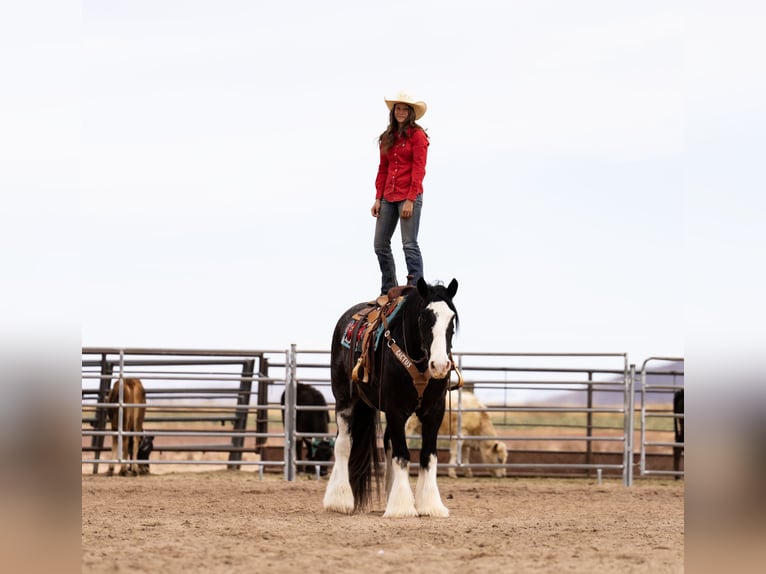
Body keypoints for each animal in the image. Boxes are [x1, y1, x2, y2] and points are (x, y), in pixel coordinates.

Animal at [324, 276, 462, 520]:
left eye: (451, 319)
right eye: (424, 317)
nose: (439, 365)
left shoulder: (434, 411)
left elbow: (427, 455)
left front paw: (430, 505)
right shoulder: (396, 409)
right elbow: (402, 454)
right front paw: (402, 508)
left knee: (387, 442)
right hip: (344, 399)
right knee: (343, 444)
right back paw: (339, 499)